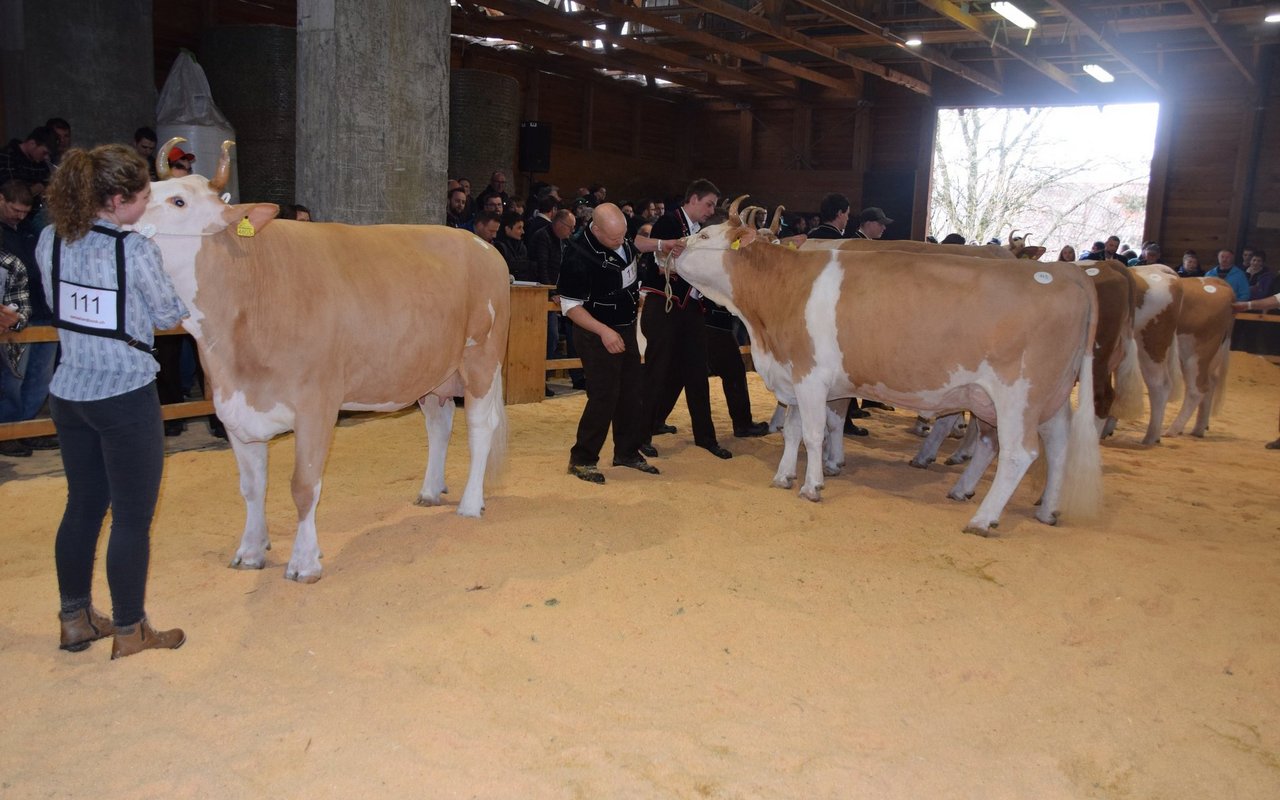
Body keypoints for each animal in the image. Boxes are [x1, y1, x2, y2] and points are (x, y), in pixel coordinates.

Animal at [139, 139, 511, 582]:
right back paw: (429, 490)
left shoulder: (316, 405)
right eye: (145, 191)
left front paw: (304, 561)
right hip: (432, 372)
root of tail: (483, 245)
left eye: (178, 201)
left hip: (481, 360)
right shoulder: (235, 410)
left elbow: (304, 485)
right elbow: (251, 488)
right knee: (440, 424)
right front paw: (250, 551)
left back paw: (470, 504)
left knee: (480, 427)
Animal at [668, 197, 1102, 535]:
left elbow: (812, 433)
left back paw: (982, 518)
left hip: (1018, 397)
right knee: (1053, 447)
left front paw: (812, 486)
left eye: (704, 236)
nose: (669, 249)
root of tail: (1065, 274)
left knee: (1017, 453)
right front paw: (783, 476)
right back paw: (1041, 508)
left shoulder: (810, 377)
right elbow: (793, 432)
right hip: (1046, 398)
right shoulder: (793, 374)